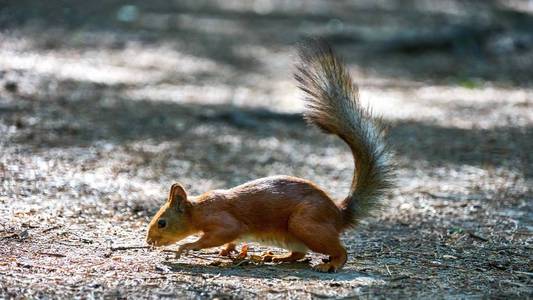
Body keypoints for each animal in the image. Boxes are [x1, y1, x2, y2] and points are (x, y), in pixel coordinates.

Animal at [148, 38, 392, 272]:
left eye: (162, 222)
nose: (149, 241)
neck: (198, 210)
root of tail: (338, 215)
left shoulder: (223, 220)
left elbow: (224, 233)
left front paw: (187, 247)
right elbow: (230, 241)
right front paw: (227, 251)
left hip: (306, 224)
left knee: (340, 250)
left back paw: (330, 263)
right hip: (294, 234)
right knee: (299, 254)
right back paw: (277, 257)